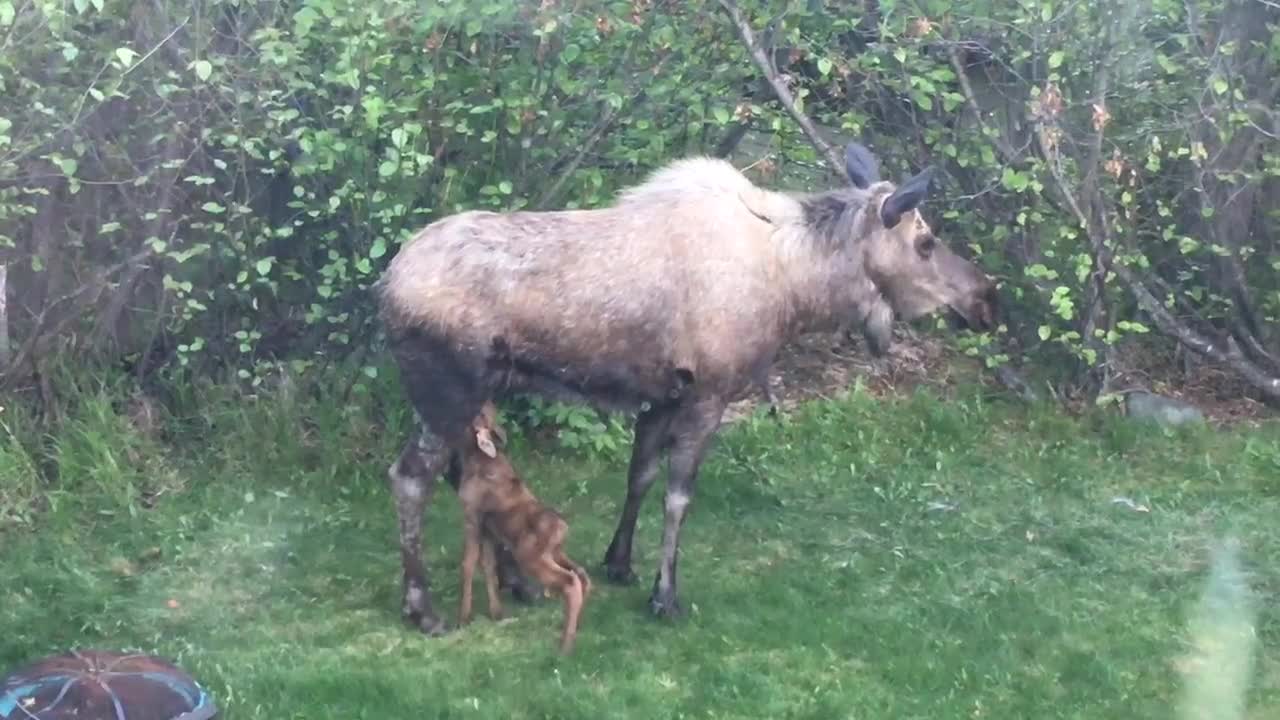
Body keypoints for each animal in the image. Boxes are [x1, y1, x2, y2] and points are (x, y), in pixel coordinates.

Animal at [453, 399, 591, 653]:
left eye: (479, 413)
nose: (489, 399)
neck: (476, 459)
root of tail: (562, 529)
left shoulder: (472, 516)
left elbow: (468, 564)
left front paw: (462, 618)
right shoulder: (489, 530)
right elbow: (488, 566)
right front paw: (496, 613)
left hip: (529, 556)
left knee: (571, 582)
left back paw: (565, 645)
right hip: (555, 553)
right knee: (582, 574)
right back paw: (574, 630)